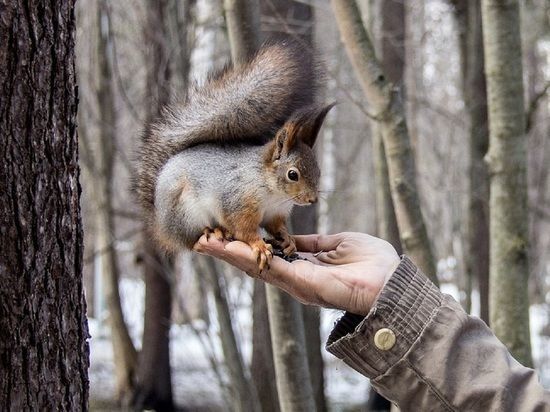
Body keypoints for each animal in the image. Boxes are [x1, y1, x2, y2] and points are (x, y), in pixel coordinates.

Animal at [133, 38, 336, 270]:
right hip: (187, 214)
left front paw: (288, 240)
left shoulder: (275, 214)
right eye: (292, 174)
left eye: (318, 171)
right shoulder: (238, 202)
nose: (313, 200)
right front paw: (259, 246)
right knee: (192, 236)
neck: (273, 192)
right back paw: (215, 230)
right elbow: (244, 230)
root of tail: (161, 225)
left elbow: (276, 227)